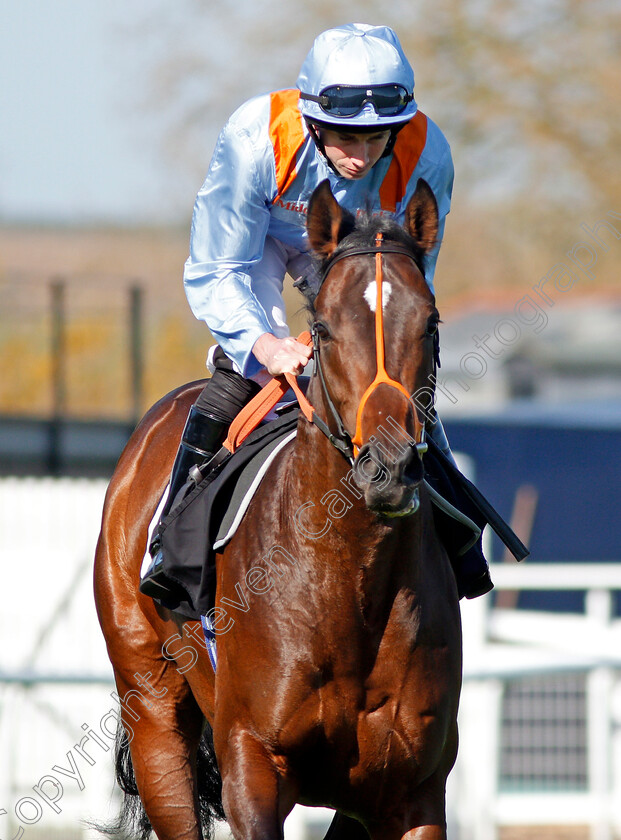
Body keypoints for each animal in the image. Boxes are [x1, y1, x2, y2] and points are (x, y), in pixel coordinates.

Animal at [92, 179, 460, 840]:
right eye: (324, 329)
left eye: (431, 323)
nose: (389, 470)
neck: (349, 581)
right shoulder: (252, 766)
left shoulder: (412, 789)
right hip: (152, 706)